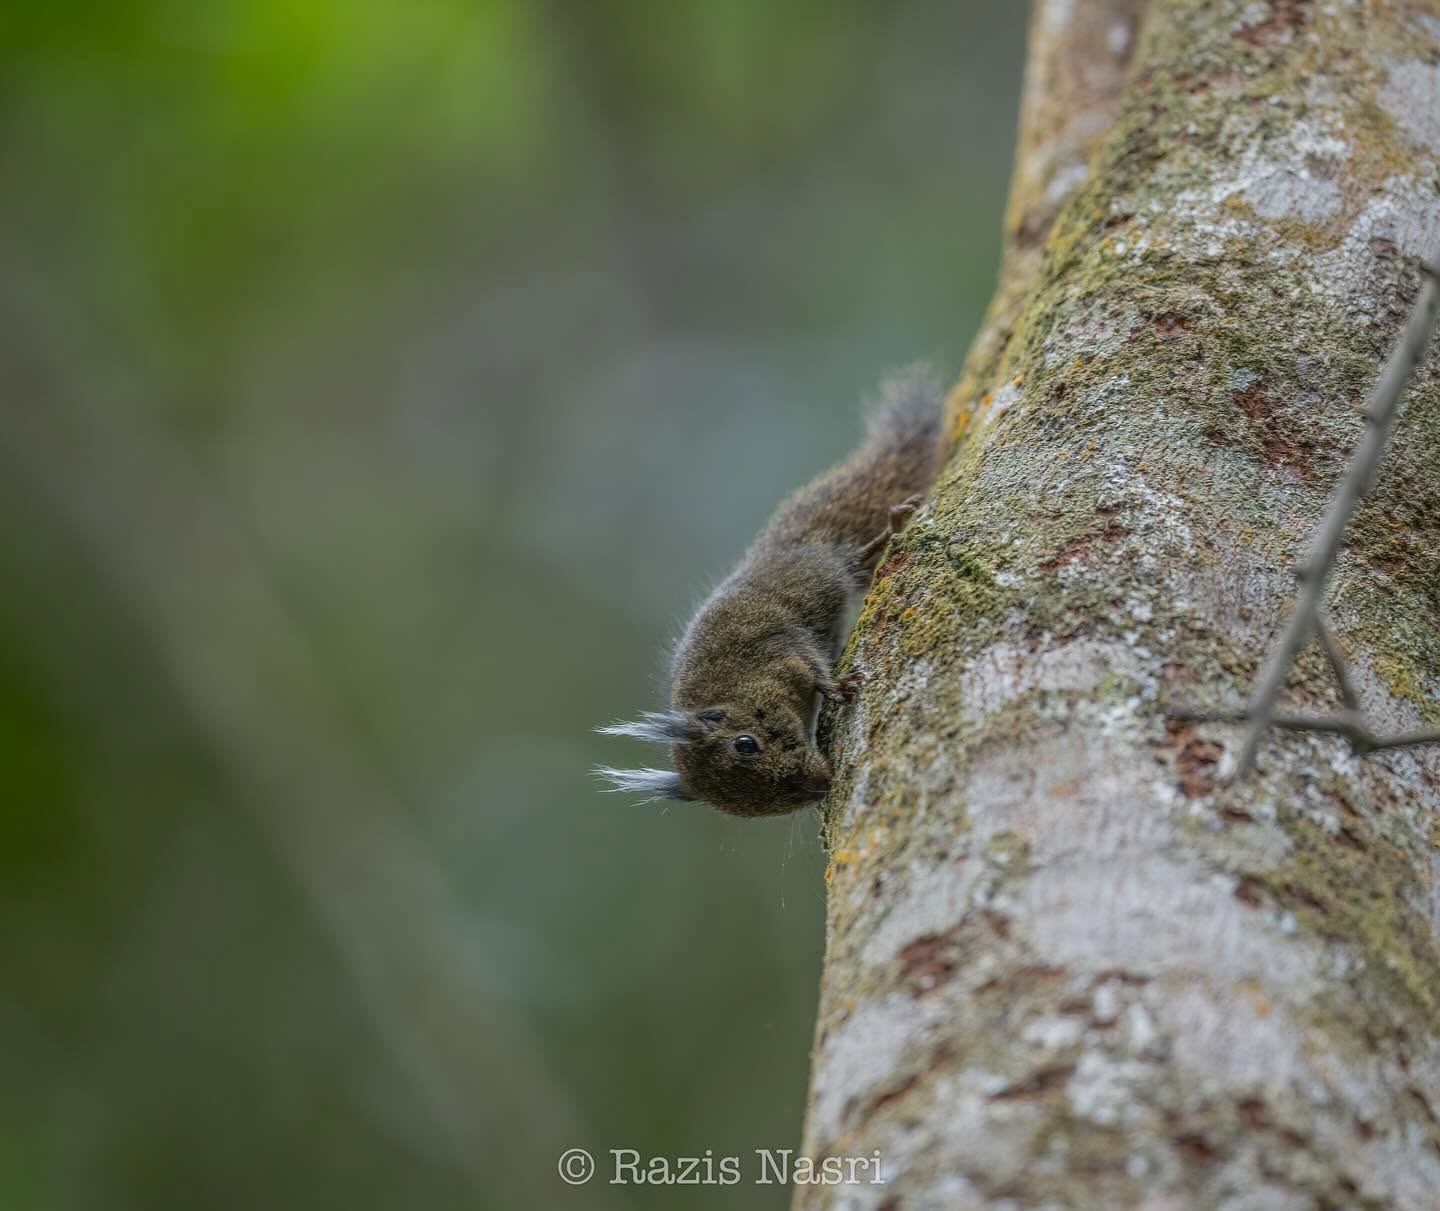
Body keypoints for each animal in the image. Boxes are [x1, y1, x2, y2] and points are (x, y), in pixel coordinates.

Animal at [595, 365, 944, 817]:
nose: (819, 785)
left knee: (853, 557)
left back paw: (893, 522)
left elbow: (815, 670)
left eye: (745, 744)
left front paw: (838, 688)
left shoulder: (780, 648)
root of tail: (778, 546)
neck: (737, 687)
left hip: (818, 571)